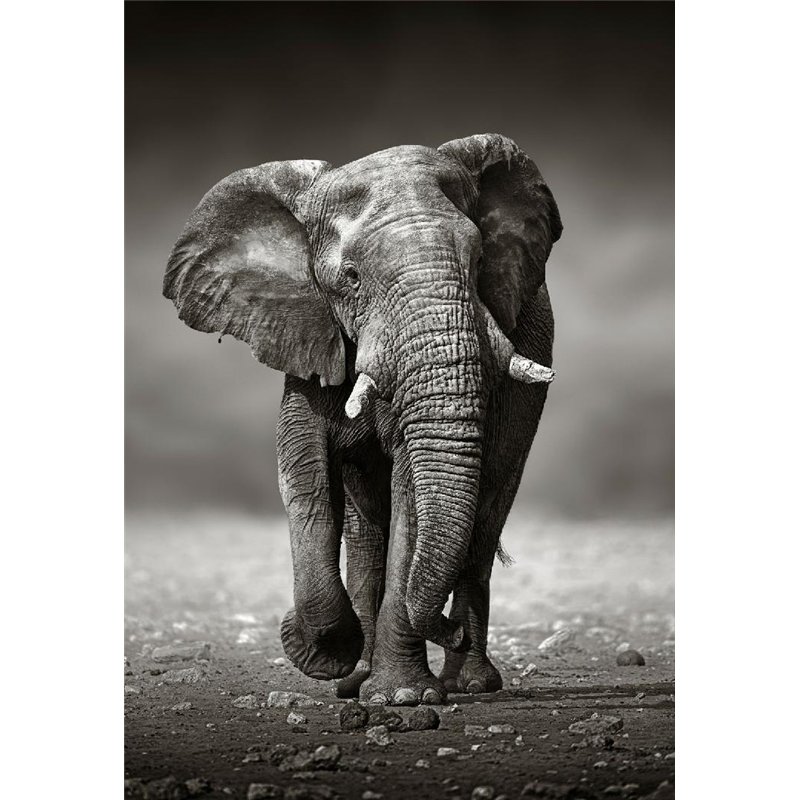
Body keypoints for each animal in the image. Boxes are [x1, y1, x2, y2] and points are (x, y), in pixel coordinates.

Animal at [163, 133, 562, 706]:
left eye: (480, 259)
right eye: (350, 279)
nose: (447, 630)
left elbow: (411, 490)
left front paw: (404, 698)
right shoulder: (307, 333)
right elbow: (303, 473)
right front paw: (326, 654)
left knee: (486, 512)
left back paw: (468, 684)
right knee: (367, 530)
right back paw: (357, 680)